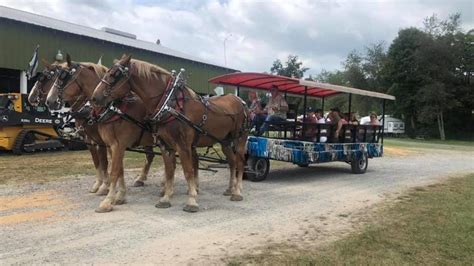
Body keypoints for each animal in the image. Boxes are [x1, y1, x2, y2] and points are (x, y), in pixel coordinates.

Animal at [27, 61, 109, 194]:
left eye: (44, 78)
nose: (30, 97)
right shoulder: (89, 139)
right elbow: (97, 162)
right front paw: (98, 185)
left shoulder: (100, 139)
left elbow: (104, 162)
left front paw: (106, 186)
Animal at [46, 56, 155, 212]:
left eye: (63, 76)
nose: (49, 101)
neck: (114, 109)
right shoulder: (106, 144)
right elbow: (115, 167)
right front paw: (118, 194)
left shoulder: (112, 144)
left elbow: (109, 166)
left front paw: (106, 193)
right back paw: (142, 180)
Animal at [90, 55, 250, 213]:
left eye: (114, 75)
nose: (94, 97)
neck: (170, 104)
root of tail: (240, 101)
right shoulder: (164, 144)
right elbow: (169, 170)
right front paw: (166, 198)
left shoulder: (182, 145)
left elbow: (187, 171)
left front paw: (191, 201)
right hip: (225, 142)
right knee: (232, 162)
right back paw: (230, 189)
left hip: (240, 139)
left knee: (240, 162)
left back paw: (237, 191)